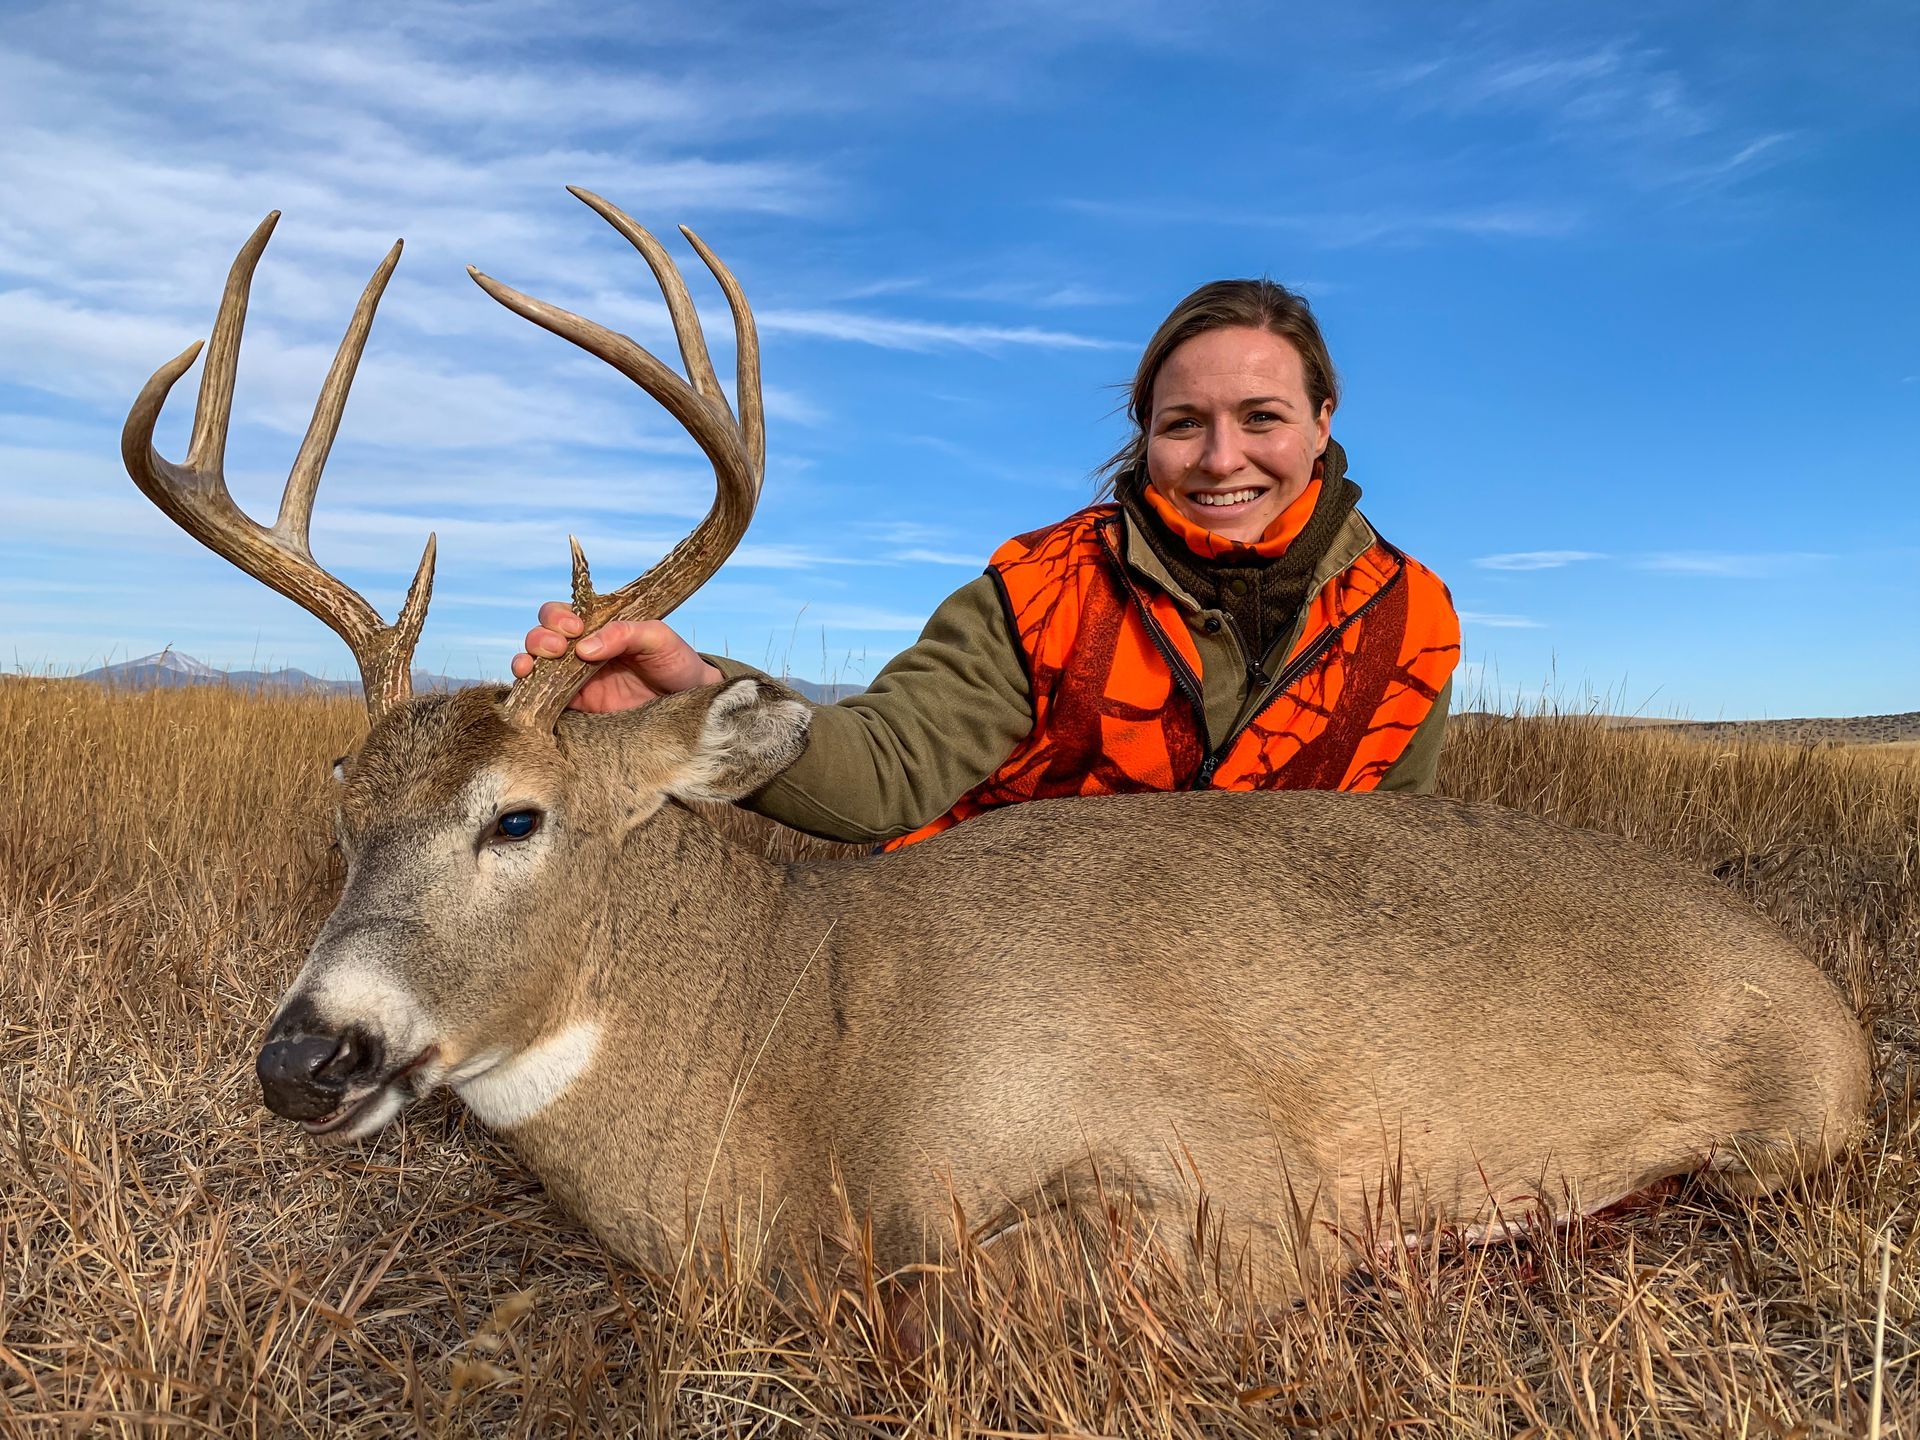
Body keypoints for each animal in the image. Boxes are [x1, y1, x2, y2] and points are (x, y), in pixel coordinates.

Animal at [123, 188, 1871, 1302]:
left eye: (517, 818)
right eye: (344, 811)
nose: (303, 1059)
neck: (793, 1064)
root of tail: (1832, 1004)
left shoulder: (1223, 1182)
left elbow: (937, 1295)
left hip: (1785, 1137)